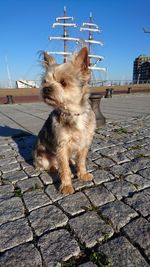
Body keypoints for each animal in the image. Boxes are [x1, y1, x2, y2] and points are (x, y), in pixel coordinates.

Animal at [33, 47, 96, 195]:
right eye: (45, 81)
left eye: (63, 82)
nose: (46, 88)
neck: (74, 113)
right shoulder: (61, 146)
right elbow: (65, 169)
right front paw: (66, 186)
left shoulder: (84, 143)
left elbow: (81, 161)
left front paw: (83, 174)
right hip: (42, 158)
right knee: (51, 166)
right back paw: (54, 169)